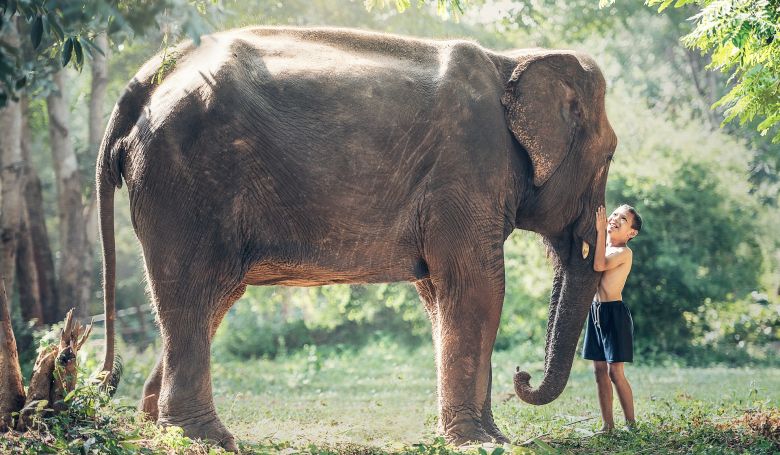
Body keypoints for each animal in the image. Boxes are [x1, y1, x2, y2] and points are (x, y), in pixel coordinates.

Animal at [94, 26, 616, 450]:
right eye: (610, 154)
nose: (522, 374)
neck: (511, 60)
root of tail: (147, 78)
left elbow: (439, 294)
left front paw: (487, 437)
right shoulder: (467, 169)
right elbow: (478, 289)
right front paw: (484, 443)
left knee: (212, 299)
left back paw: (156, 427)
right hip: (185, 180)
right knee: (193, 290)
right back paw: (206, 439)